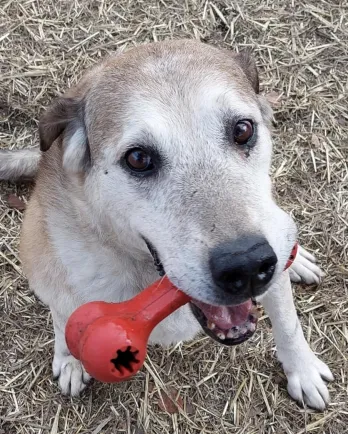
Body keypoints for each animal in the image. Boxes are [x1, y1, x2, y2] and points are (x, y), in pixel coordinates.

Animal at [0, 39, 334, 408]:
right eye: (138, 158)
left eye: (243, 130)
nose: (247, 265)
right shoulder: (51, 277)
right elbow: (63, 320)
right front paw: (70, 359)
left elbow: (287, 323)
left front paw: (303, 370)